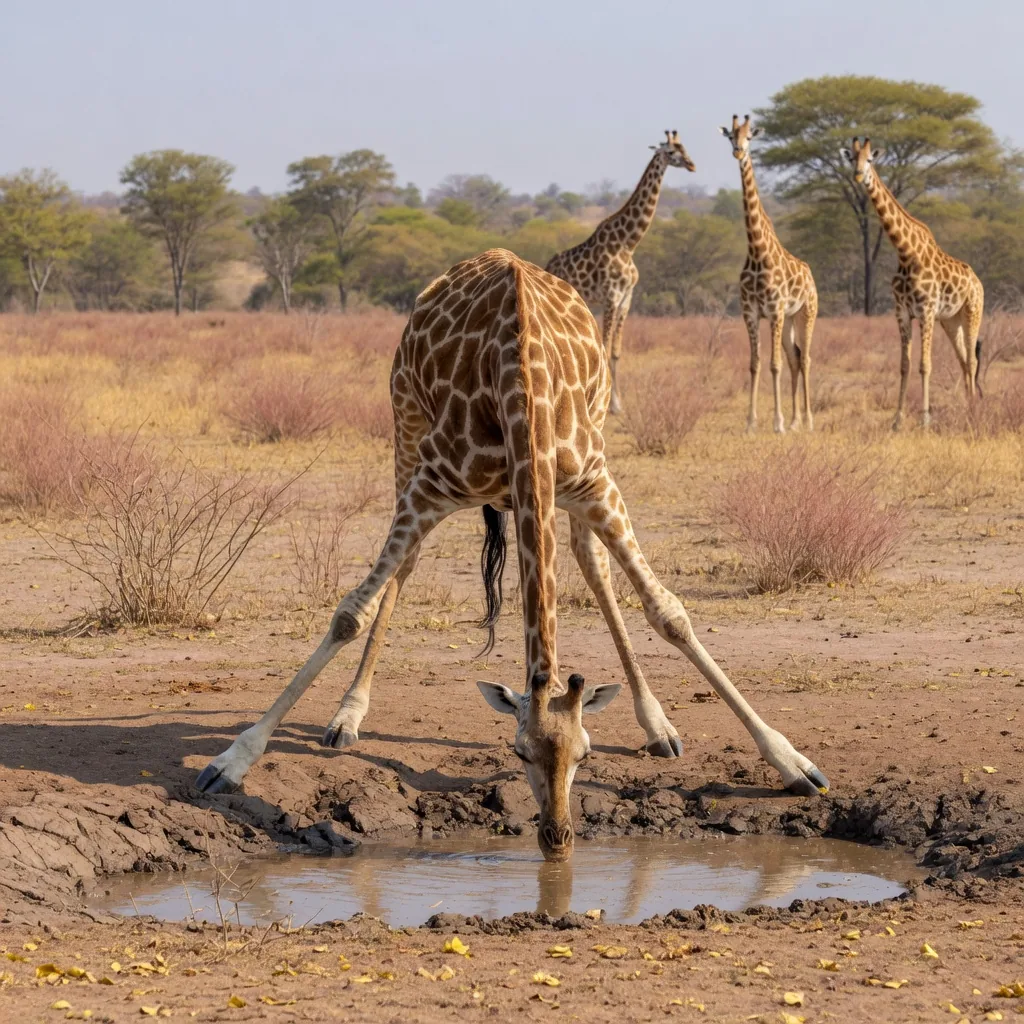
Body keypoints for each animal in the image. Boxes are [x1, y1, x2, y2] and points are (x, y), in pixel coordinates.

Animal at [197, 249, 828, 862]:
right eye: (518, 751)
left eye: (586, 754)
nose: (557, 838)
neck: (524, 394)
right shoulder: (430, 486)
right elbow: (351, 613)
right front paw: (231, 761)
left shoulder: (595, 483)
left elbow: (668, 613)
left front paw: (793, 763)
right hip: (405, 426)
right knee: (404, 569)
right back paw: (347, 716)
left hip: (591, 439)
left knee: (590, 562)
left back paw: (656, 724)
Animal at [545, 130, 695, 414]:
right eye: (671, 151)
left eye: (685, 148)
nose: (692, 165)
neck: (628, 242)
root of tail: (546, 266)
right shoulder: (612, 296)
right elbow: (604, 346)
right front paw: (608, 404)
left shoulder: (626, 298)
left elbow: (615, 351)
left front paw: (617, 403)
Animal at [720, 115, 818, 433]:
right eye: (731, 136)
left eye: (750, 136)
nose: (738, 151)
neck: (757, 252)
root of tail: (811, 276)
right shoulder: (750, 312)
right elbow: (756, 363)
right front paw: (751, 422)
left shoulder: (774, 311)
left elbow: (774, 364)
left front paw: (778, 422)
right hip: (788, 320)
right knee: (795, 358)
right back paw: (798, 420)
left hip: (805, 314)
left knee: (806, 358)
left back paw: (807, 420)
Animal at [842, 137, 984, 429]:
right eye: (852, 158)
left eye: (870, 160)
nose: (859, 176)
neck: (906, 253)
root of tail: (978, 282)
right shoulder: (903, 313)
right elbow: (904, 365)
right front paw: (897, 421)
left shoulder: (926, 312)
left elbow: (924, 364)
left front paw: (925, 420)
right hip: (950, 321)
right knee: (963, 359)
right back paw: (968, 408)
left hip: (972, 312)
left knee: (973, 359)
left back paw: (973, 410)